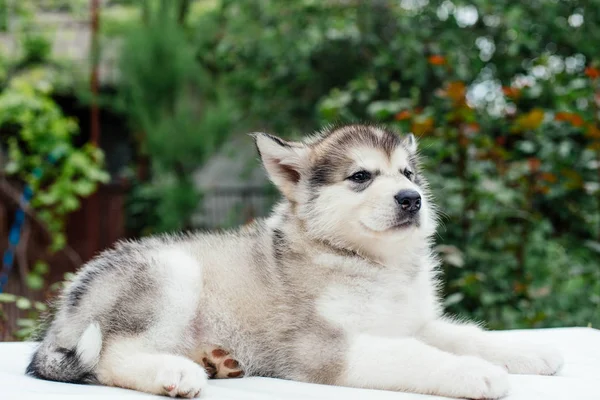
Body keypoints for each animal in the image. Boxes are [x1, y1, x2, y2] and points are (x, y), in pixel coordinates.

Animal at [27, 124, 564, 396]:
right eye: (361, 177)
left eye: (408, 174)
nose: (412, 199)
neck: (370, 263)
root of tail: (60, 314)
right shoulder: (323, 345)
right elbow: (415, 355)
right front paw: (475, 372)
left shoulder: (413, 322)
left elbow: (465, 334)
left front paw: (527, 352)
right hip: (172, 273)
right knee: (111, 356)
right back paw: (175, 374)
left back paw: (217, 361)